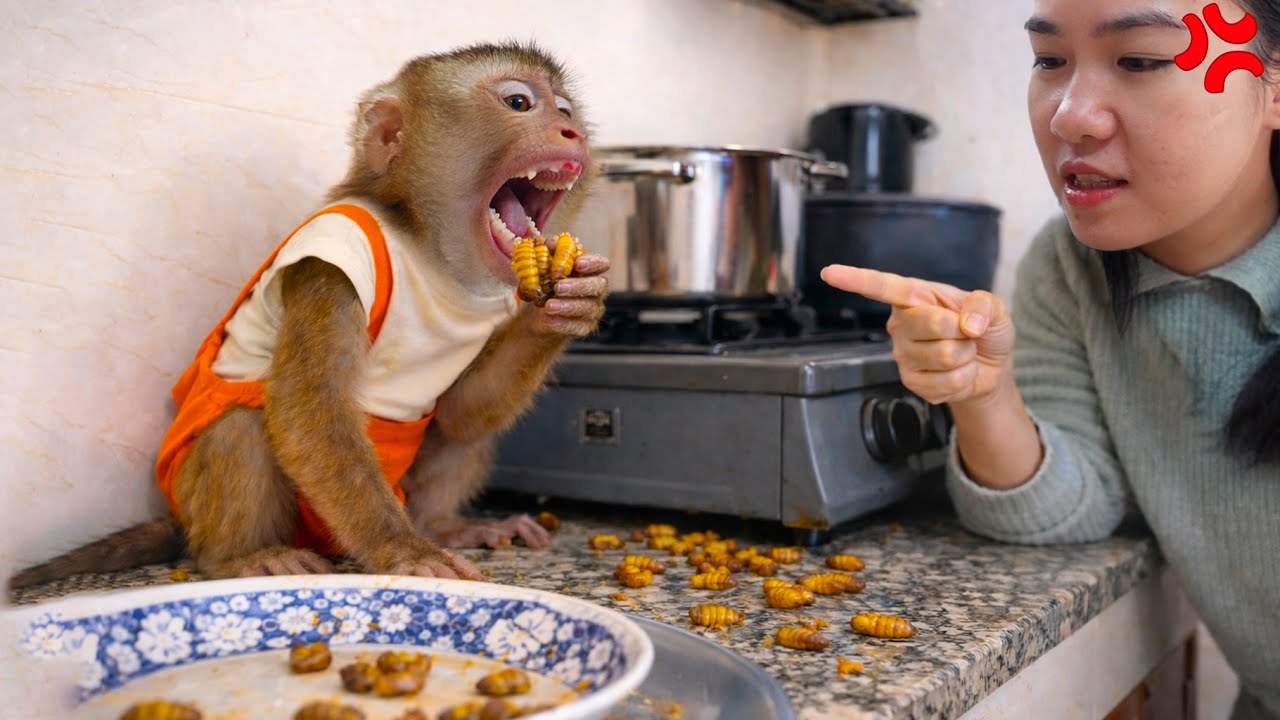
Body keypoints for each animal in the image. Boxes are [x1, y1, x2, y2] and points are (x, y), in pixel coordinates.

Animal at [9, 41, 606, 590]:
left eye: (565, 110)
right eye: (519, 102)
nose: (570, 133)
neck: (424, 247)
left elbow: (463, 413)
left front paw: (569, 306)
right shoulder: (331, 263)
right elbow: (310, 415)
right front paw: (404, 552)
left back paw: (443, 526)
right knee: (243, 425)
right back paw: (241, 557)